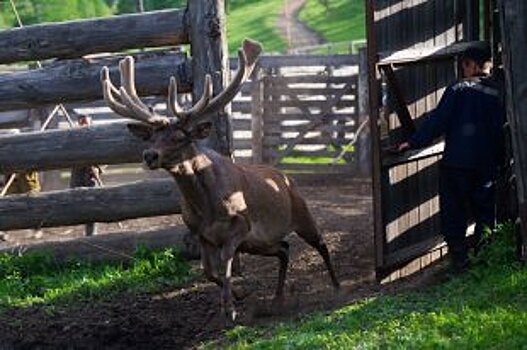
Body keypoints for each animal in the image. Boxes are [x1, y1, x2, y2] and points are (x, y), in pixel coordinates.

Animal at [100, 39, 340, 322]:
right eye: (152, 137)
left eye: (180, 137)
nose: (150, 155)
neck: (207, 208)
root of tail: (286, 178)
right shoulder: (201, 233)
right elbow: (208, 270)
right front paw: (238, 294)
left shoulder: (240, 226)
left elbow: (225, 262)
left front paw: (230, 308)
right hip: (261, 243)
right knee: (284, 248)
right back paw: (276, 300)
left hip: (300, 215)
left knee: (320, 243)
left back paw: (337, 286)